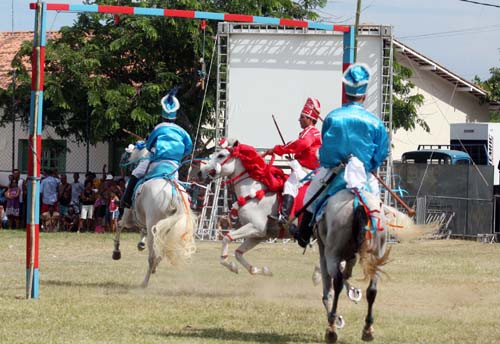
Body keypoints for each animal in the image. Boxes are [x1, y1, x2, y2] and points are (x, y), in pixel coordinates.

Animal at [112, 145, 196, 288]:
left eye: (125, 155)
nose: (120, 166)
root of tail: (173, 194)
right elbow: (142, 231)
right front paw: (141, 243)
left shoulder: (128, 217)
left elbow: (119, 226)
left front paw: (116, 252)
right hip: (168, 229)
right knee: (162, 252)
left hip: (154, 227)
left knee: (152, 256)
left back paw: (144, 282)